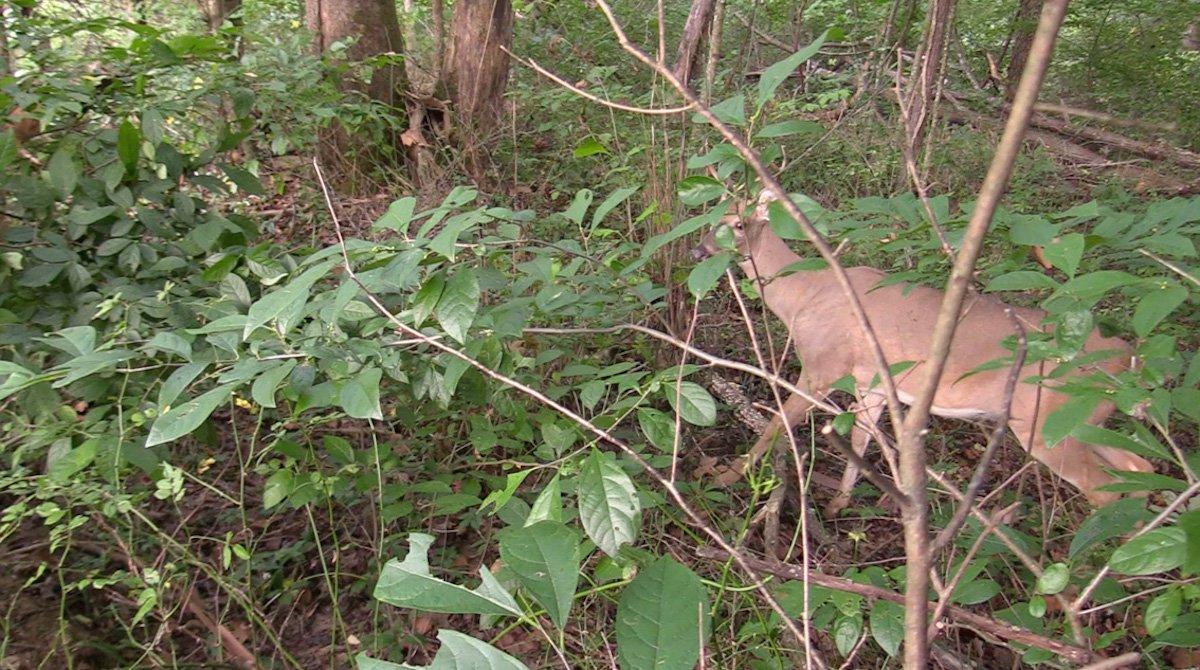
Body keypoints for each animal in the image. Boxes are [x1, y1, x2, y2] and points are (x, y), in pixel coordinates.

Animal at [696, 192, 1152, 516]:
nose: (701, 251)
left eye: (738, 223)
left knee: (1103, 487)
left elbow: (777, 424)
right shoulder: (873, 383)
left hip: (1047, 420)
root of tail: (1130, 357)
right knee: (1136, 467)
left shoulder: (823, 365)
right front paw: (839, 504)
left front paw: (726, 475)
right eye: (712, 216)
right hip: (1084, 419)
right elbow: (860, 438)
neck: (803, 296)